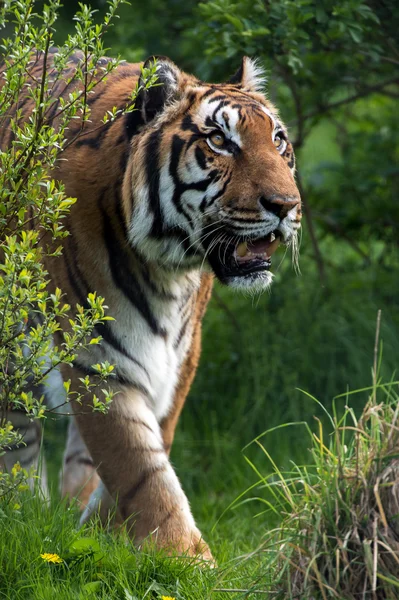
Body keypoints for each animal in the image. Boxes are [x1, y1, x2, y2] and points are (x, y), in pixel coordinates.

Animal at [0, 49, 302, 560]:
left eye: (278, 141)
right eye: (219, 141)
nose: (285, 205)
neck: (168, 270)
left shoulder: (180, 355)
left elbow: (148, 445)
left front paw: (99, 531)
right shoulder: (99, 357)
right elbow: (139, 465)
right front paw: (186, 557)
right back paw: (21, 512)